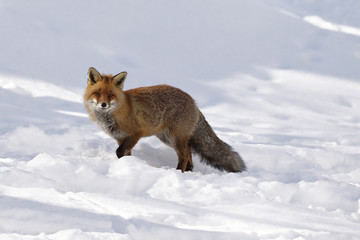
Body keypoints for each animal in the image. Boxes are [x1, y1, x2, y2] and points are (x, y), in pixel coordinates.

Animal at [84, 67, 246, 172]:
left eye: (111, 94)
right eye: (98, 92)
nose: (103, 104)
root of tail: (193, 102)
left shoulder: (135, 134)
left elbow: (119, 152)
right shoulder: (120, 138)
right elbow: (124, 154)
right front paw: (127, 165)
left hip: (175, 137)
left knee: (184, 155)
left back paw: (178, 172)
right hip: (168, 138)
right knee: (189, 152)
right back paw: (188, 171)